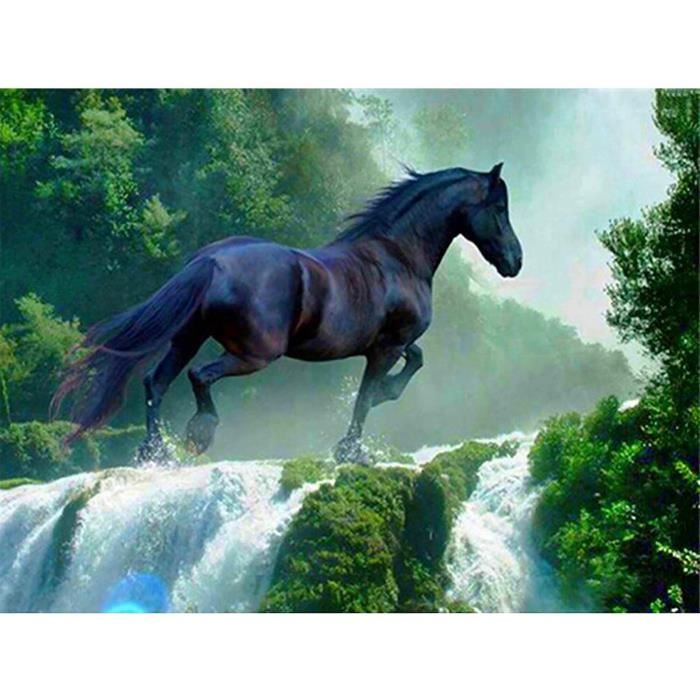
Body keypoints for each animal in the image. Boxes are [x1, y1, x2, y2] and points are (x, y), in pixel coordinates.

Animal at [52, 164, 523, 464]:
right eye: (499, 210)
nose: (515, 261)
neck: (397, 258)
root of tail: (211, 261)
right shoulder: (385, 348)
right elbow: (366, 397)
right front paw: (352, 451)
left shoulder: (392, 345)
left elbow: (412, 363)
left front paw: (379, 404)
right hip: (255, 353)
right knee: (198, 376)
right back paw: (199, 433)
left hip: (188, 337)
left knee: (156, 381)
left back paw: (157, 453)